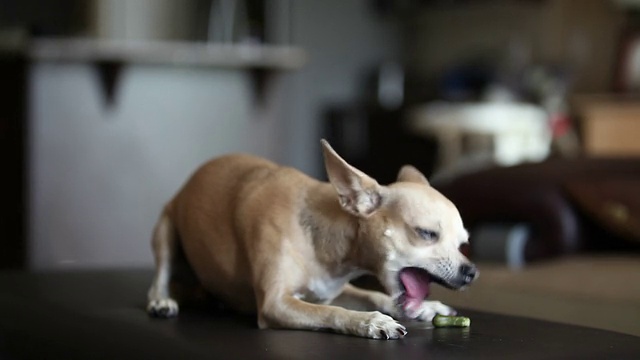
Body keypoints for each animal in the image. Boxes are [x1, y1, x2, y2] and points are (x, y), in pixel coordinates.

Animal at [146, 139, 476, 338]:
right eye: (426, 234)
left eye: (463, 244)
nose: (472, 271)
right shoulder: (277, 303)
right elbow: (331, 312)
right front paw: (371, 322)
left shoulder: (331, 290)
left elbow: (373, 296)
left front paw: (427, 307)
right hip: (165, 230)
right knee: (160, 274)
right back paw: (162, 300)